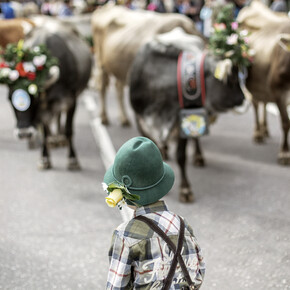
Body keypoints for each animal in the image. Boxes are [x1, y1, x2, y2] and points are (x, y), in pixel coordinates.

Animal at [3, 20, 92, 170]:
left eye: (36, 99)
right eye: (9, 99)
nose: (24, 133)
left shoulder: (71, 101)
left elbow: (69, 130)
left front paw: (73, 159)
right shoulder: (43, 112)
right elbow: (44, 132)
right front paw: (44, 158)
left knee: (59, 117)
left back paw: (59, 138)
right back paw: (53, 139)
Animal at [129, 29, 245, 202]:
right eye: (230, 79)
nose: (242, 97)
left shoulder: (181, 121)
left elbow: (181, 156)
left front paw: (185, 189)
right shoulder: (140, 120)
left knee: (196, 137)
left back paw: (198, 156)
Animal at [238, 1, 290, 165]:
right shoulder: (278, 91)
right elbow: (285, 122)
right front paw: (284, 153)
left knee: (264, 102)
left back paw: (265, 130)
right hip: (252, 84)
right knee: (256, 104)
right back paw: (258, 134)